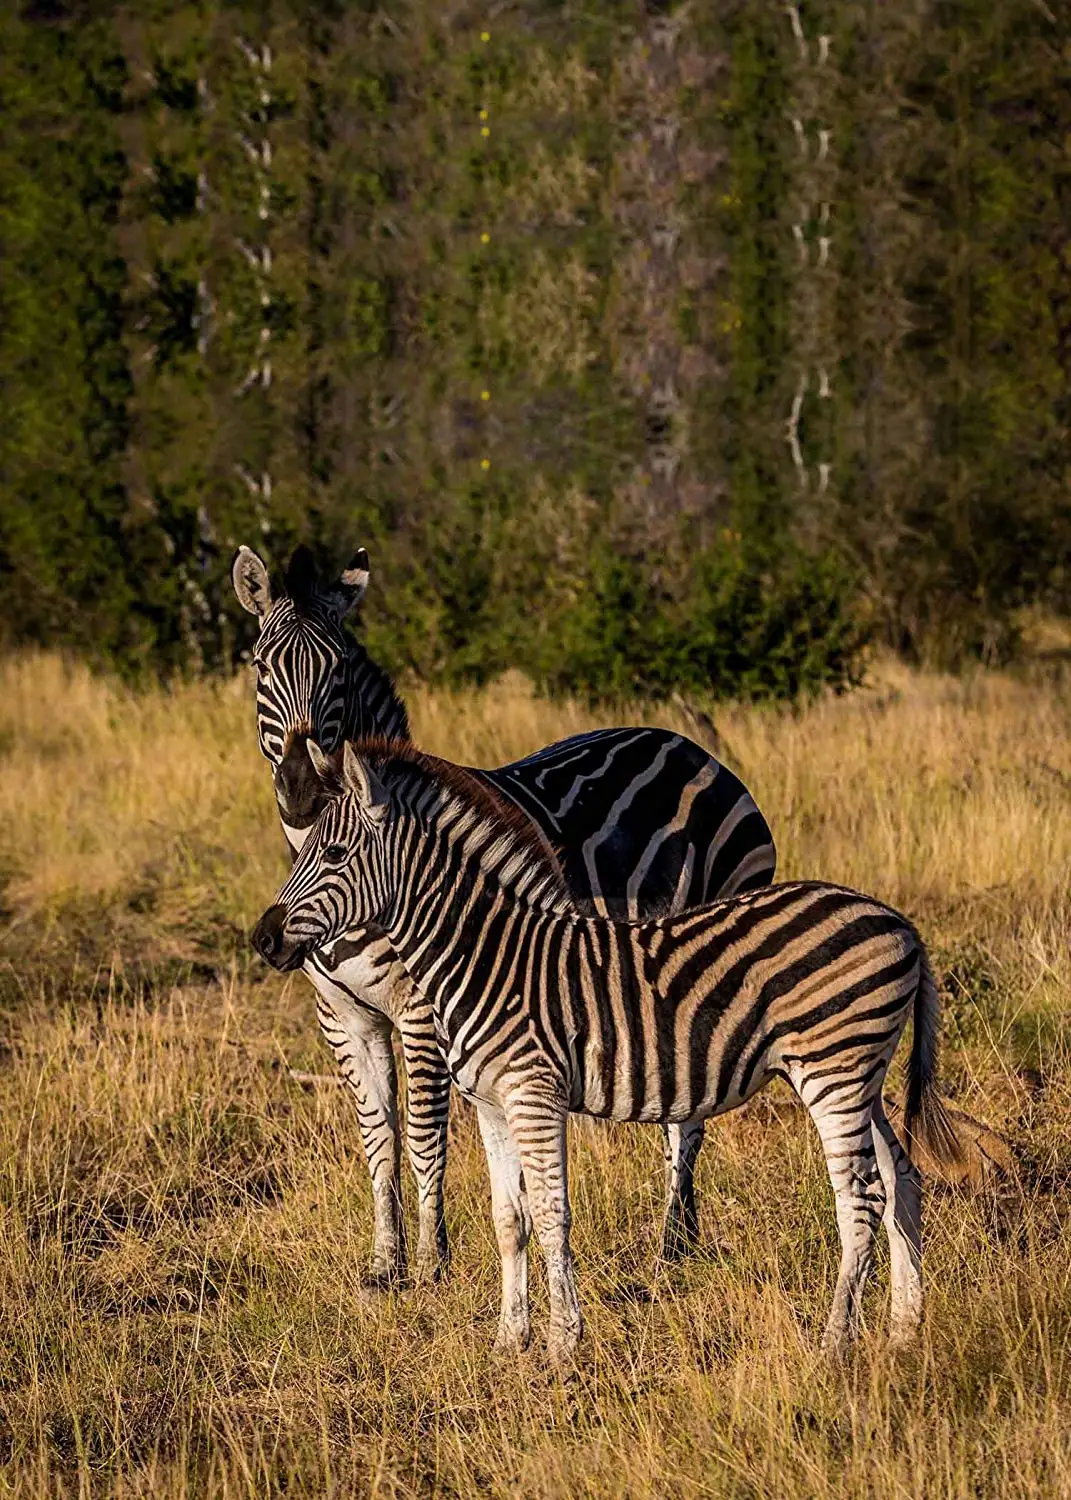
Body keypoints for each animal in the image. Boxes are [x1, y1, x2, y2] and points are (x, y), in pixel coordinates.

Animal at [232, 543, 777, 1286]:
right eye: (261, 665)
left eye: (338, 667)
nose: (299, 786)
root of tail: (689, 746)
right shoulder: (342, 1016)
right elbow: (378, 1136)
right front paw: (384, 1263)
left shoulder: (423, 1010)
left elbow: (423, 1132)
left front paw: (432, 1262)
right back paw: (681, 1238)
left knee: (686, 1118)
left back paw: (671, 1243)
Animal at [252, 739, 959, 1360]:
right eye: (304, 848)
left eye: (334, 852)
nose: (262, 939)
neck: (485, 954)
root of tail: (899, 922)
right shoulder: (490, 1103)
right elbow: (509, 1219)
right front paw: (510, 1341)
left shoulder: (534, 1094)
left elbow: (551, 1213)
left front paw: (564, 1342)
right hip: (861, 1078)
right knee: (902, 1182)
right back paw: (904, 1330)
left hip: (834, 1072)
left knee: (859, 1203)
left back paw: (836, 1346)